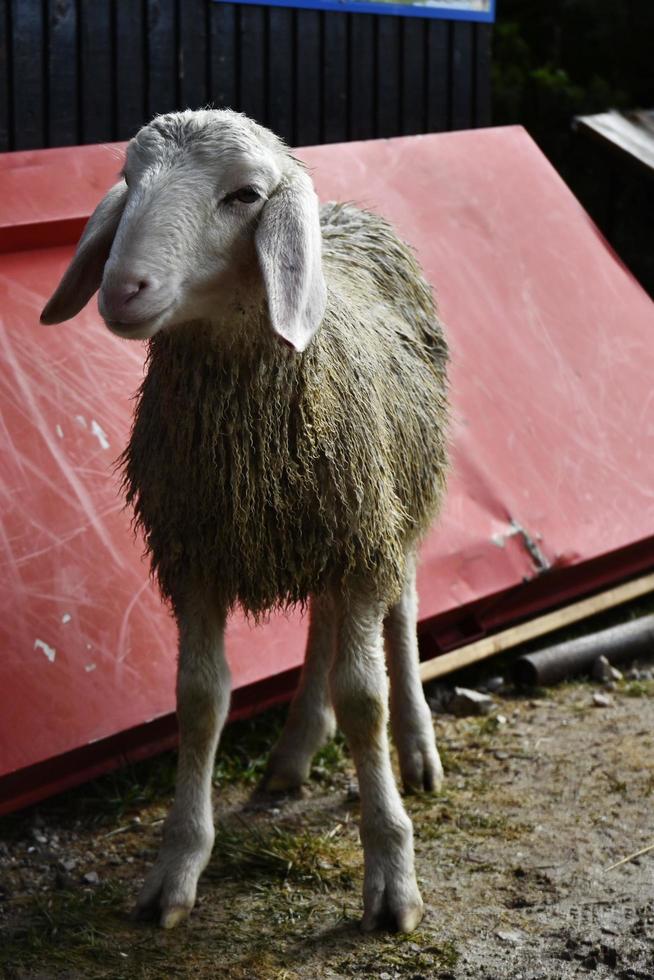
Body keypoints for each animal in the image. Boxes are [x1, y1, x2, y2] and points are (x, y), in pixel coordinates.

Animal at [41, 109, 452, 936]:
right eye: (129, 179)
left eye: (244, 195)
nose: (122, 288)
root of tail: (348, 212)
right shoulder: (196, 553)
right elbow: (201, 699)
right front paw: (176, 869)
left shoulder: (362, 540)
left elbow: (365, 700)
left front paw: (392, 876)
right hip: (329, 526)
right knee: (325, 623)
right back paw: (294, 752)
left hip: (392, 503)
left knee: (399, 614)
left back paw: (415, 749)